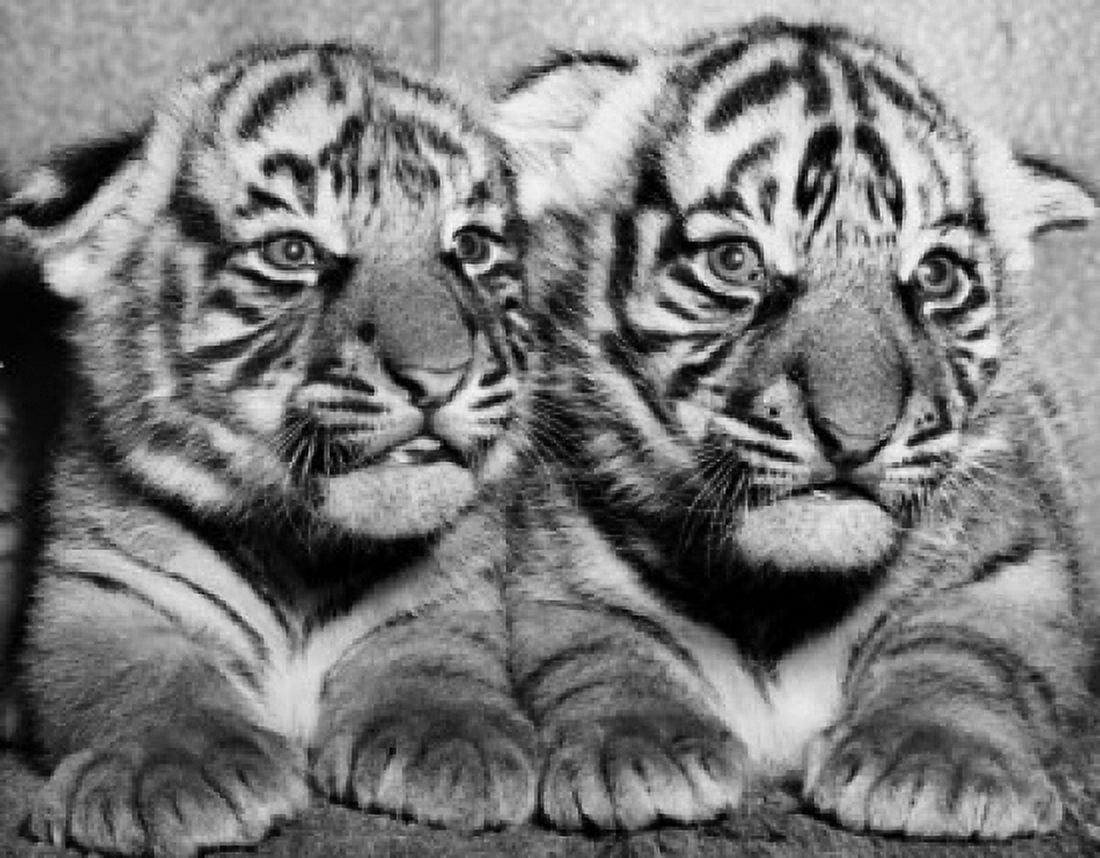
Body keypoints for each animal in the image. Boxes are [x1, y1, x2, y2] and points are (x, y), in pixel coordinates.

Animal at [1, 42, 536, 856]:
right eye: (293, 252)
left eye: (470, 247)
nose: (439, 377)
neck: (304, 554)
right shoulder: (99, 590)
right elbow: (145, 676)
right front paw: (179, 772)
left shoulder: (451, 593)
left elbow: (437, 657)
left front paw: (453, 744)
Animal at [492, 18, 1099, 838]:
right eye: (734, 260)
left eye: (936, 276)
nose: (855, 436)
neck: (774, 600)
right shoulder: (551, 573)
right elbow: (604, 647)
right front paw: (640, 751)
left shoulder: (1014, 566)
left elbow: (962, 652)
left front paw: (937, 767)